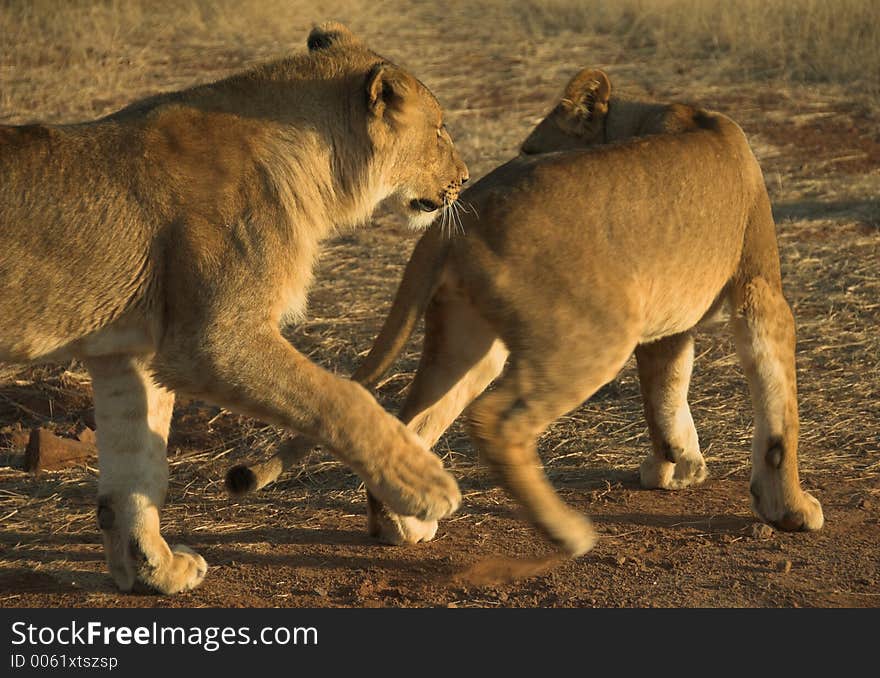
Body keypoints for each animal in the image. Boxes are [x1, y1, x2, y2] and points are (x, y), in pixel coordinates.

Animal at [0, 22, 468, 596]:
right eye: (440, 130)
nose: (466, 177)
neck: (312, 163)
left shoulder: (133, 351)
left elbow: (138, 468)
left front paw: (154, 569)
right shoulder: (213, 340)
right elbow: (342, 396)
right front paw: (425, 486)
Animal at [234, 67, 824, 556]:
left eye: (533, 146)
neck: (650, 115)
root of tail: (461, 214)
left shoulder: (667, 318)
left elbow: (666, 390)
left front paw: (674, 466)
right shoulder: (759, 288)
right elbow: (778, 408)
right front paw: (789, 507)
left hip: (470, 340)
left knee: (412, 422)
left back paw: (403, 525)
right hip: (593, 333)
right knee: (496, 421)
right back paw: (566, 533)